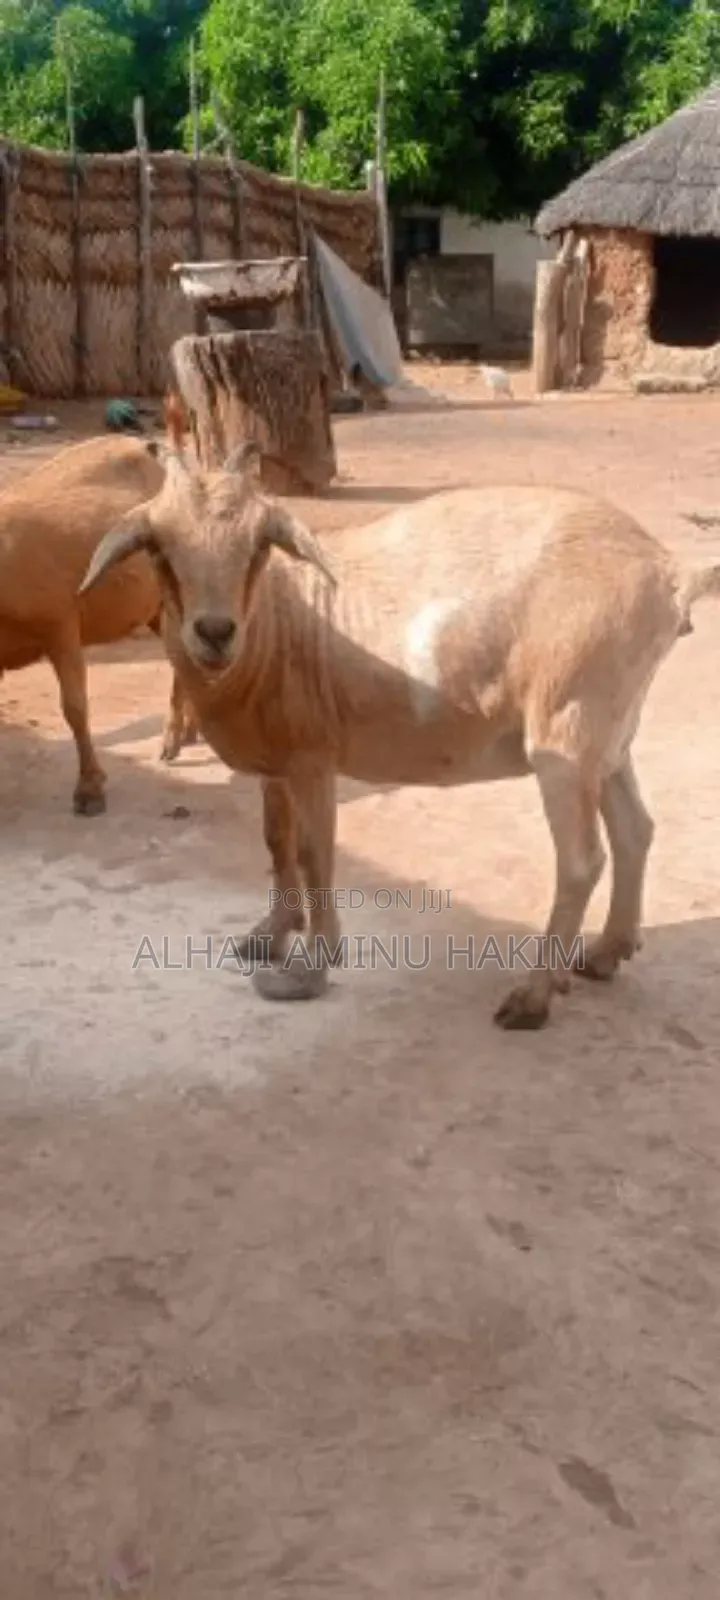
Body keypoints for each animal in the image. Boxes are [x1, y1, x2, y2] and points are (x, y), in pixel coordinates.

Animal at [0, 433, 198, 814]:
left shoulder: (59, 624)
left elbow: (75, 707)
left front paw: (90, 787)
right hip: (153, 608)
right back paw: (189, 730)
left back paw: (172, 739)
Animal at [78, 437, 720, 1027]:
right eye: (158, 547)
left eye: (259, 545)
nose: (214, 632)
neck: (277, 624)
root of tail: (668, 572)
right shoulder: (276, 759)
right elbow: (275, 841)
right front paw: (269, 935)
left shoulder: (313, 756)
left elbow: (313, 852)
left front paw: (310, 969)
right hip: (609, 729)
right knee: (635, 830)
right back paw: (607, 952)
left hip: (567, 724)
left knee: (583, 859)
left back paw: (533, 997)